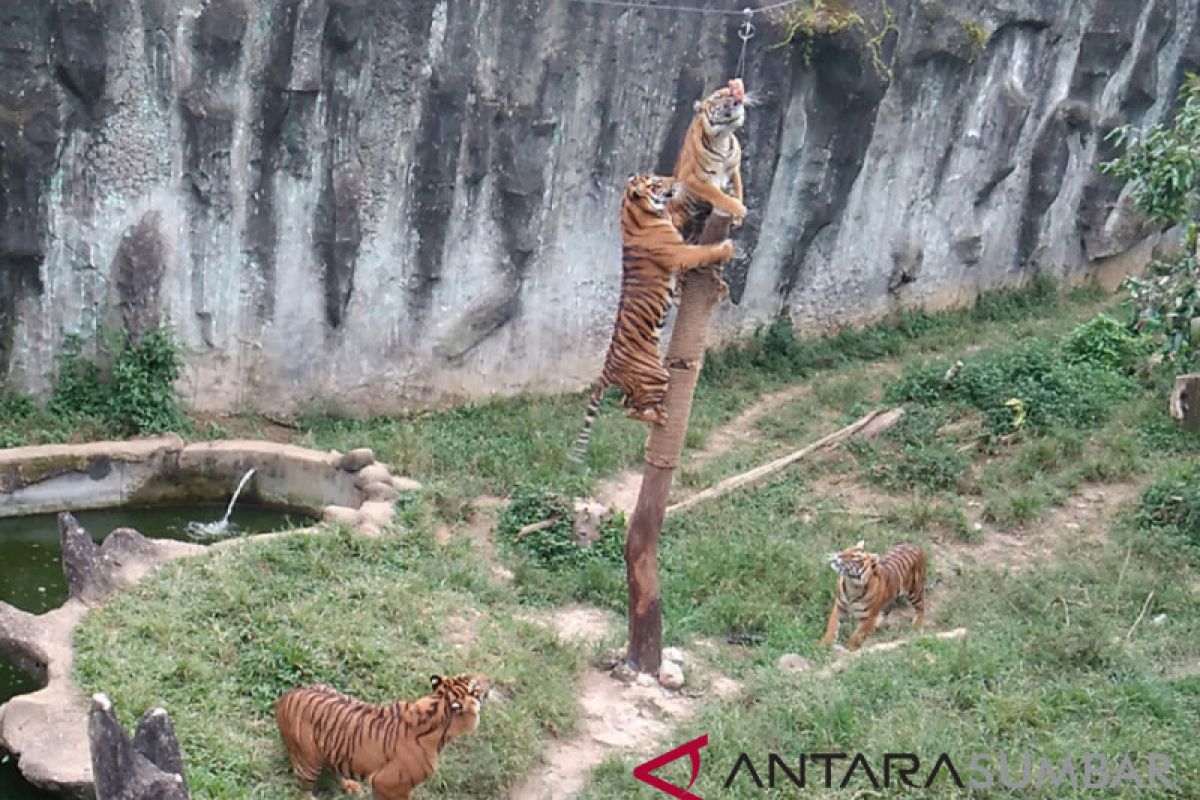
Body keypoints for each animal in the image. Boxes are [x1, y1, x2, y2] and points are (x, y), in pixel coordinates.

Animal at [274, 676, 487, 800]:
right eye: (474, 686)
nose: (489, 682)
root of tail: (284, 697)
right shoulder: (389, 783)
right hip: (308, 760)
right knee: (304, 788)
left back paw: (351, 785)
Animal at [568, 175, 734, 462]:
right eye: (657, 182)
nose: (675, 180)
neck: (636, 211)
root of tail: (606, 371)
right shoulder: (681, 253)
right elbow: (703, 251)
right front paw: (726, 246)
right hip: (657, 377)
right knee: (633, 410)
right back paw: (662, 416)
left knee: (626, 404)